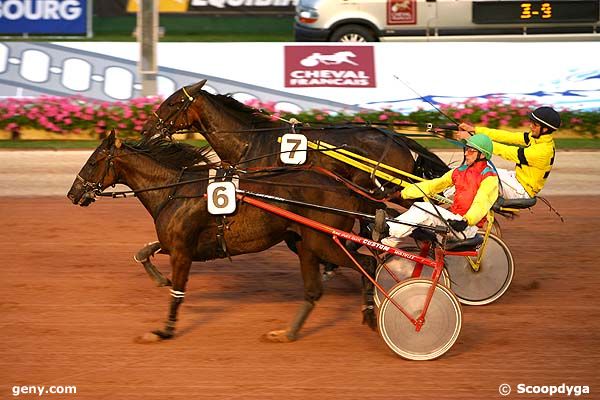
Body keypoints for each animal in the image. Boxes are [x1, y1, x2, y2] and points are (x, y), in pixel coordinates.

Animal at [68, 132, 378, 344]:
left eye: (93, 161)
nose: (72, 194)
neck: (175, 190)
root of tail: (344, 187)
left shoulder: (182, 250)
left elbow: (177, 293)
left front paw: (164, 330)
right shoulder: (179, 244)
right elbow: (146, 251)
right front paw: (159, 278)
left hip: (323, 241)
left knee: (368, 263)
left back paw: (371, 313)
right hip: (303, 243)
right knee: (314, 290)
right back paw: (287, 333)